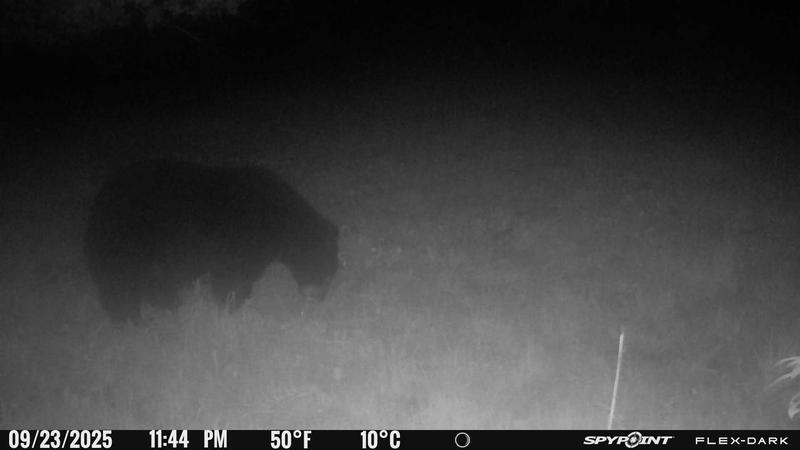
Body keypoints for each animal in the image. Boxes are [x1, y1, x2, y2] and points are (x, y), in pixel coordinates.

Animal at [84, 159, 339, 323]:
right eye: (328, 273)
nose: (318, 299)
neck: (280, 218)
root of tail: (99, 199)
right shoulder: (240, 240)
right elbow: (232, 277)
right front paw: (231, 305)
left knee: (148, 281)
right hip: (128, 240)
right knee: (122, 282)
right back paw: (130, 319)